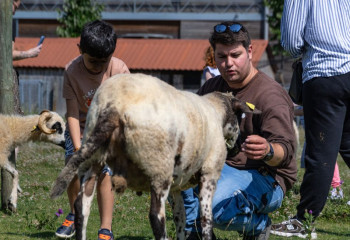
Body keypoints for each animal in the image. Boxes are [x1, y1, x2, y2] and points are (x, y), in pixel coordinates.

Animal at [50, 73, 260, 240]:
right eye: (239, 117)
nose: (238, 148)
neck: (216, 112)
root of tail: (115, 106)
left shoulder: (177, 186)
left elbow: (181, 219)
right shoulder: (210, 173)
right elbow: (205, 219)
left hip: (92, 159)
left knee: (81, 209)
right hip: (159, 167)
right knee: (156, 217)